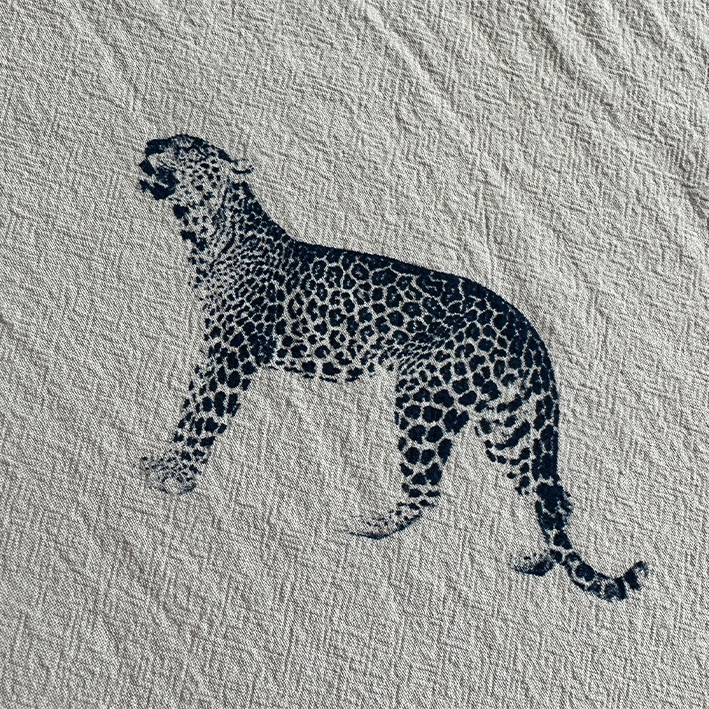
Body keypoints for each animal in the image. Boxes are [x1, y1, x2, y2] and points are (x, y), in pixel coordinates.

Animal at [137, 134, 648, 601]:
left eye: (185, 150)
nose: (149, 146)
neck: (205, 237)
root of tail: (527, 331)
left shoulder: (233, 354)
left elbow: (203, 415)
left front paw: (175, 476)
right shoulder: (213, 350)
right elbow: (189, 407)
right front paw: (163, 463)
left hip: (423, 397)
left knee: (427, 488)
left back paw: (366, 525)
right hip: (509, 423)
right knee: (551, 494)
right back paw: (538, 559)